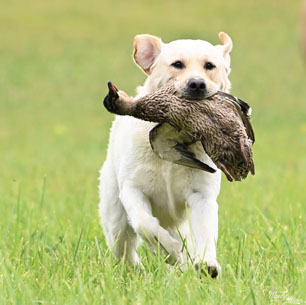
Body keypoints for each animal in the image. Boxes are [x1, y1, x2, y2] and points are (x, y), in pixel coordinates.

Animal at [100, 32, 232, 276]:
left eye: (210, 65)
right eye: (177, 64)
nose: (197, 84)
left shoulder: (202, 195)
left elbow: (205, 231)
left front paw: (207, 263)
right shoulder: (132, 189)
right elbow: (145, 225)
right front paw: (171, 251)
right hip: (115, 217)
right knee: (124, 248)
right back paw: (138, 269)